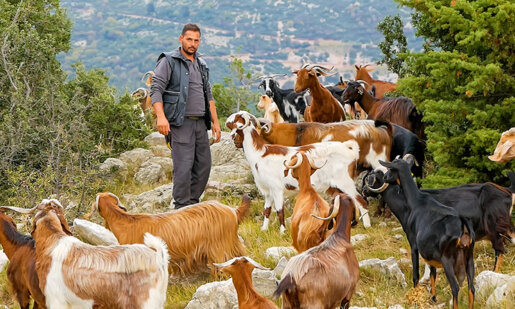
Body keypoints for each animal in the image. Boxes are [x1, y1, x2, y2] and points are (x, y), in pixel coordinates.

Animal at [228, 110, 368, 229]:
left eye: (237, 126)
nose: (233, 140)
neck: (260, 153)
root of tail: (348, 149)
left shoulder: (277, 189)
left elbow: (280, 211)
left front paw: (282, 231)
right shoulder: (268, 191)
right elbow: (266, 210)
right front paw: (264, 229)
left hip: (345, 182)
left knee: (361, 201)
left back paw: (366, 226)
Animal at [372, 158, 478, 306]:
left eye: (391, 168)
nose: (386, 178)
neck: (416, 201)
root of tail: (462, 224)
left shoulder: (414, 245)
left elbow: (416, 273)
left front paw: (415, 296)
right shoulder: (430, 252)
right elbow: (432, 273)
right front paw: (433, 297)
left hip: (448, 259)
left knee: (455, 287)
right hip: (469, 257)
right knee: (471, 287)